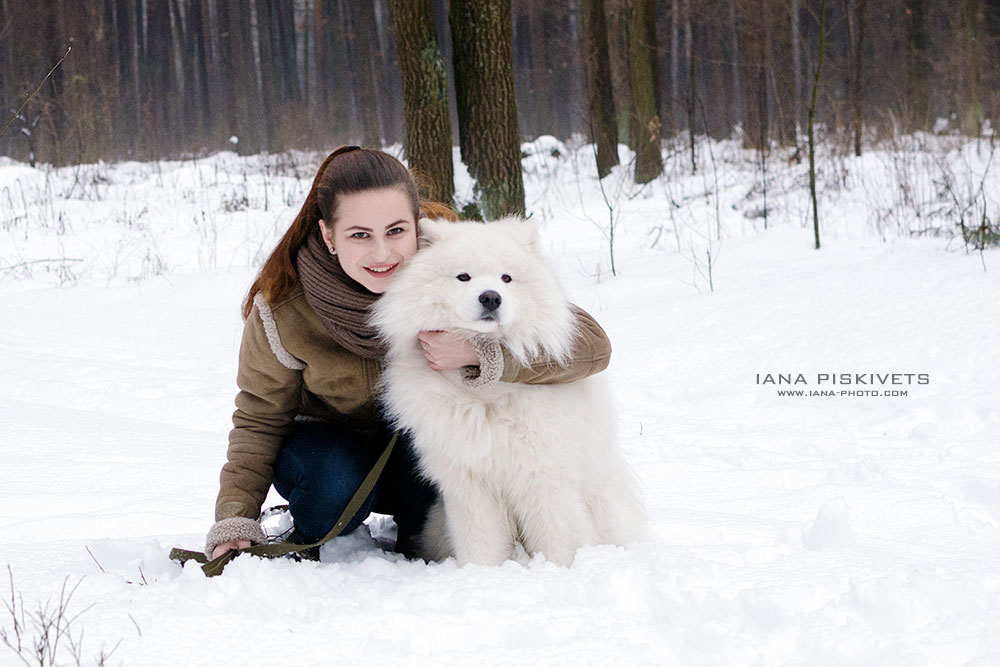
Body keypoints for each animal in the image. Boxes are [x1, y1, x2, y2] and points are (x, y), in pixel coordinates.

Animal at [372, 217, 644, 568]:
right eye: (463, 276)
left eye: (506, 278)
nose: (490, 297)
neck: (486, 397)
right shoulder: (470, 485)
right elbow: (479, 542)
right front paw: (480, 573)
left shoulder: (543, 479)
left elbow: (558, 539)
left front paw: (558, 572)